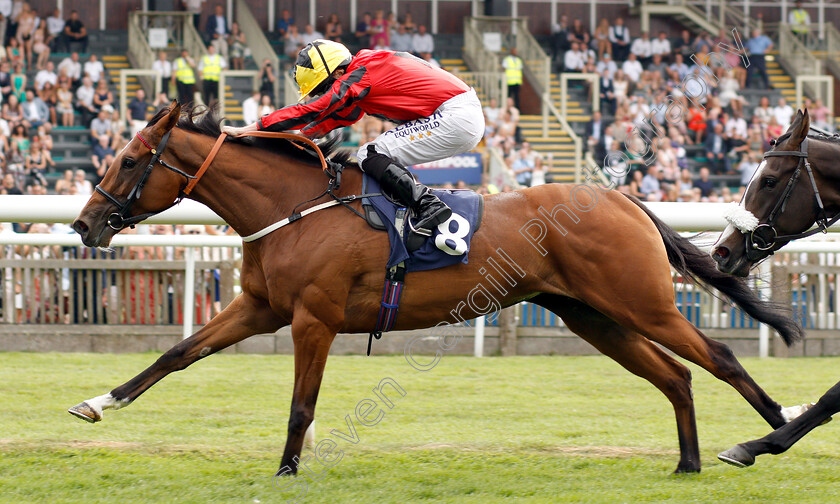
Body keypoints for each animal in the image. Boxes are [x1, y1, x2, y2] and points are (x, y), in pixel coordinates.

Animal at [69, 103, 804, 476]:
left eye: (130, 161)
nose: (83, 224)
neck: (294, 206)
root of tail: (625, 200)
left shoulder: (313, 318)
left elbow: (301, 406)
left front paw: (286, 470)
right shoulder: (261, 308)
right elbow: (177, 354)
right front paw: (97, 402)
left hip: (640, 302)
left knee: (721, 358)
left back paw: (778, 426)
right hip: (593, 316)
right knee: (676, 375)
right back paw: (688, 463)